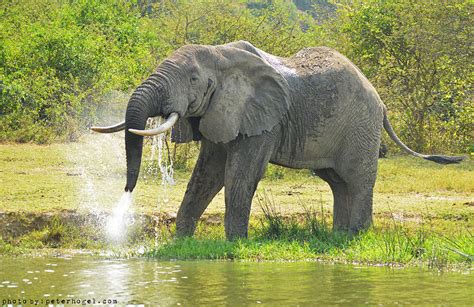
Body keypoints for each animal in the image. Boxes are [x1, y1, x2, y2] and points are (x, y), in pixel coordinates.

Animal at [91, 41, 462, 239]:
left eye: (194, 79)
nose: (126, 192)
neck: (220, 54)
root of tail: (381, 101)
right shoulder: (222, 111)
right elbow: (206, 174)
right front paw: (182, 242)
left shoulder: (263, 122)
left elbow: (239, 175)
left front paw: (232, 244)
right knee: (337, 182)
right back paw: (337, 236)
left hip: (361, 126)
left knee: (357, 181)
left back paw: (356, 236)